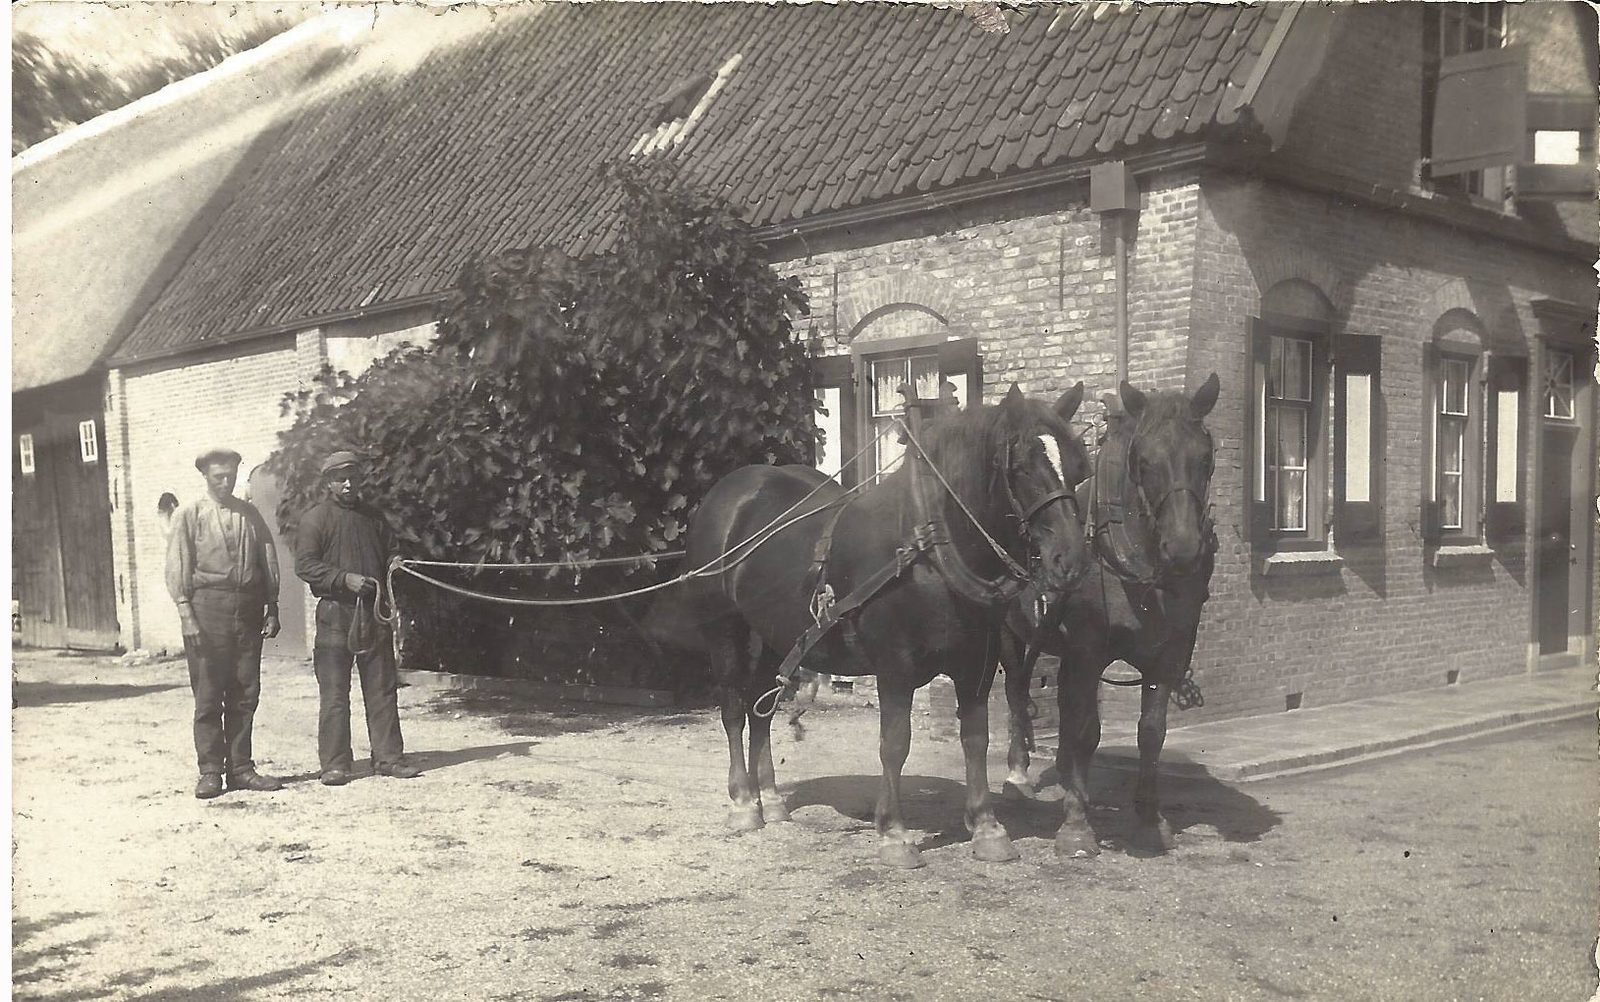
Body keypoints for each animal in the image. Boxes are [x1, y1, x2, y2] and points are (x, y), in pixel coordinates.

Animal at [668, 377, 1094, 864]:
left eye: (1079, 468)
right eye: (1021, 466)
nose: (1071, 562)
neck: (929, 550)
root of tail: (729, 494)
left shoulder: (977, 666)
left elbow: (976, 737)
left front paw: (987, 827)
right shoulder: (895, 666)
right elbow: (895, 743)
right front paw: (893, 833)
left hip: (775, 635)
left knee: (763, 710)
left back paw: (770, 800)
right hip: (724, 631)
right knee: (734, 709)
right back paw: (743, 801)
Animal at [998, 371, 1222, 851]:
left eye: (1205, 456)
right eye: (1144, 461)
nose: (1183, 549)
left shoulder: (1168, 656)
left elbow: (1151, 732)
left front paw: (1150, 818)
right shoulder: (1088, 650)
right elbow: (1088, 731)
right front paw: (1077, 824)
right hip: (1010, 635)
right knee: (1016, 693)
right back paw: (1019, 773)